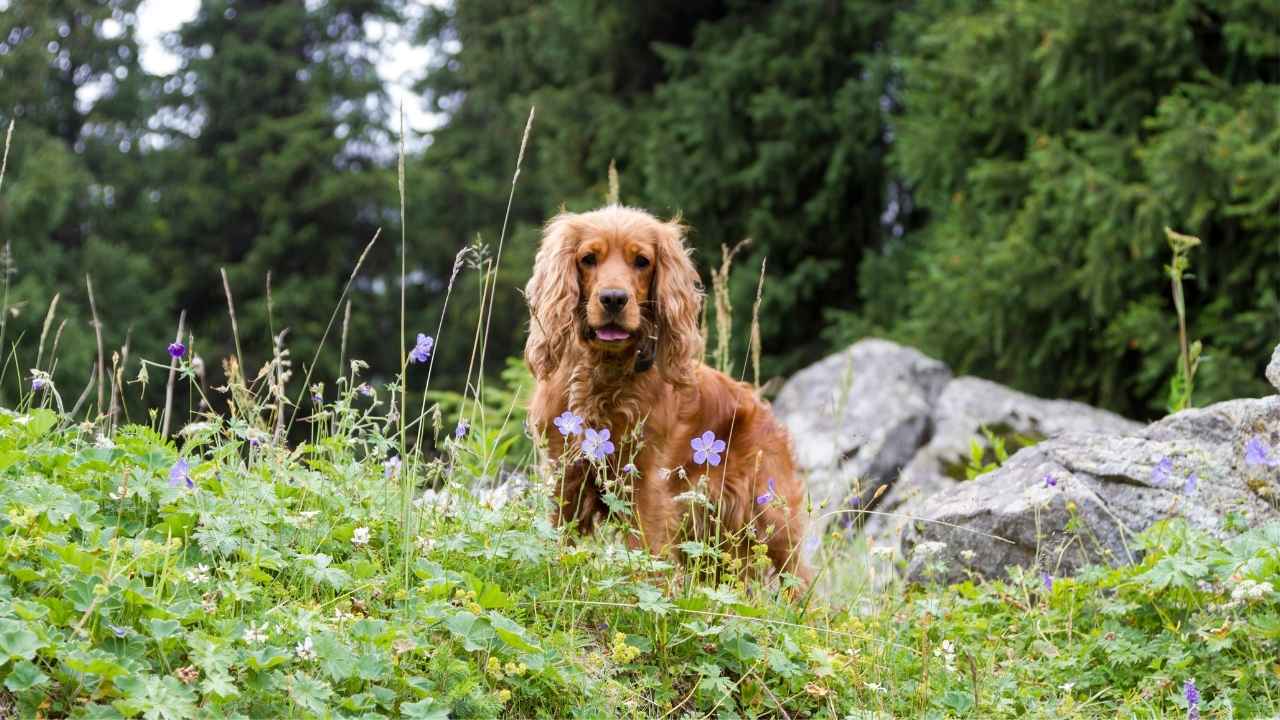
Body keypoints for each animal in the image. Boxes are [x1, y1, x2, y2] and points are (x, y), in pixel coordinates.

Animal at [527, 202, 808, 584]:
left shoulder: (647, 485)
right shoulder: (564, 474)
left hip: (769, 518)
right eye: (588, 258)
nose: (613, 299)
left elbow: (642, 555)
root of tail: (764, 409)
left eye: (641, 261)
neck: (605, 373)